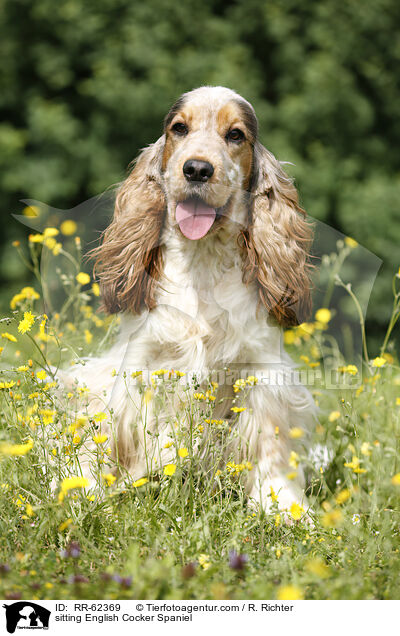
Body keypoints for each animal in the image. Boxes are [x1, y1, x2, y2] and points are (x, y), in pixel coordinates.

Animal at [62, 85, 314, 512]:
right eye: (179, 128)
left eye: (235, 135)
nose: (197, 169)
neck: (203, 260)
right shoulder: (141, 362)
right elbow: (120, 437)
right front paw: (97, 489)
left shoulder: (262, 370)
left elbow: (270, 447)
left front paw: (283, 506)